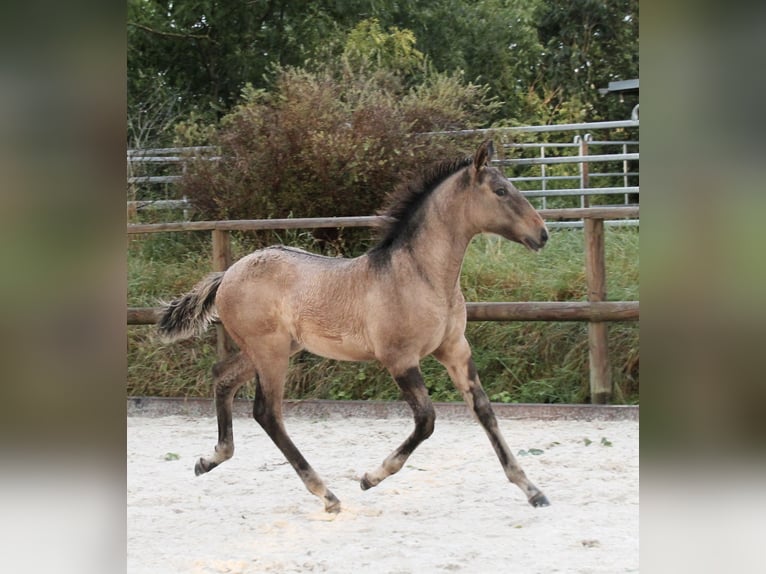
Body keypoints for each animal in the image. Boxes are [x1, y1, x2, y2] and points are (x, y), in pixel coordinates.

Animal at [158, 142, 552, 516]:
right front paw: (370, 478)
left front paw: (533, 491)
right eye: (501, 191)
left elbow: (484, 410)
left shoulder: (455, 349)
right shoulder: (399, 358)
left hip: (273, 349)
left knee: (222, 376)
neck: (422, 276)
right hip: (270, 352)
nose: (543, 234)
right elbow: (426, 420)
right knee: (267, 412)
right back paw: (327, 494)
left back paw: (210, 459)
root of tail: (228, 273)